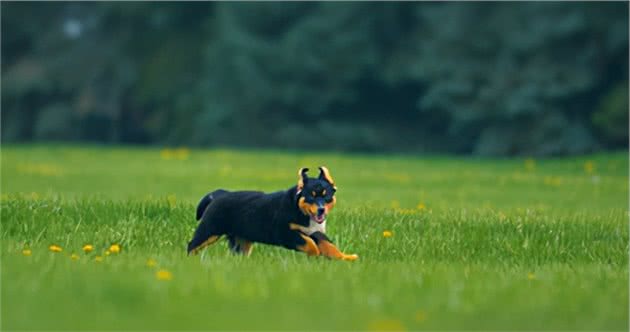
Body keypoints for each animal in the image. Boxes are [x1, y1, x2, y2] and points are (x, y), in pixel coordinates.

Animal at [185, 167, 358, 260]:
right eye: (311, 196)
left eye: (326, 196)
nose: (321, 210)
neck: (301, 211)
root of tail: (219, 194)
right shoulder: (285, 232)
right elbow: (309, 243)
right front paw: (315, 254)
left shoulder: (315, 232)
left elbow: (329, 244)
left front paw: (346, 258)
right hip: (209, 229)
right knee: (192, 245)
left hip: (241, 239)